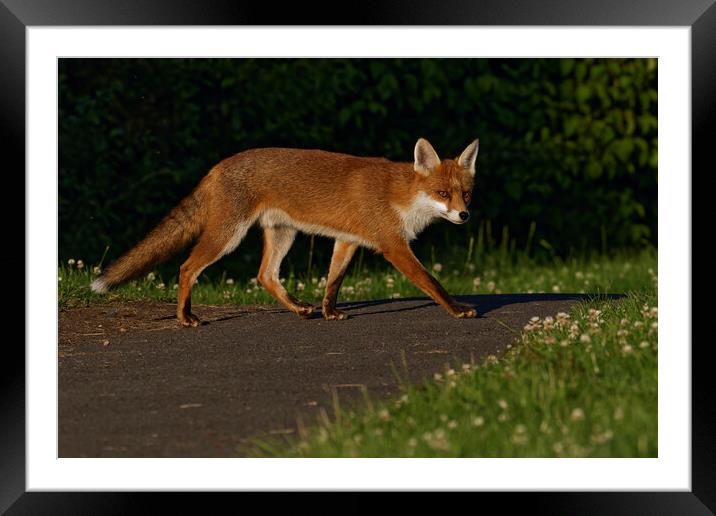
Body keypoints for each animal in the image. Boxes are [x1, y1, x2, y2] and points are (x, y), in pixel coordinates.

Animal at [91, 137, 482, 326]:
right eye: (442, 194)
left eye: (466, 193)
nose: (464, 215)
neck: (400, 196)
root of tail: (218, 166)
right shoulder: (393, 246)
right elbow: (432, 282)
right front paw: (458, 309)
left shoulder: (347, 241)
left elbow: (333, 283)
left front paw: (328, 312)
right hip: (228, 236)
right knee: (187, 268)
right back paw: (185, 317)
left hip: (283, 234)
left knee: (265, 275)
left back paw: (299, 309)